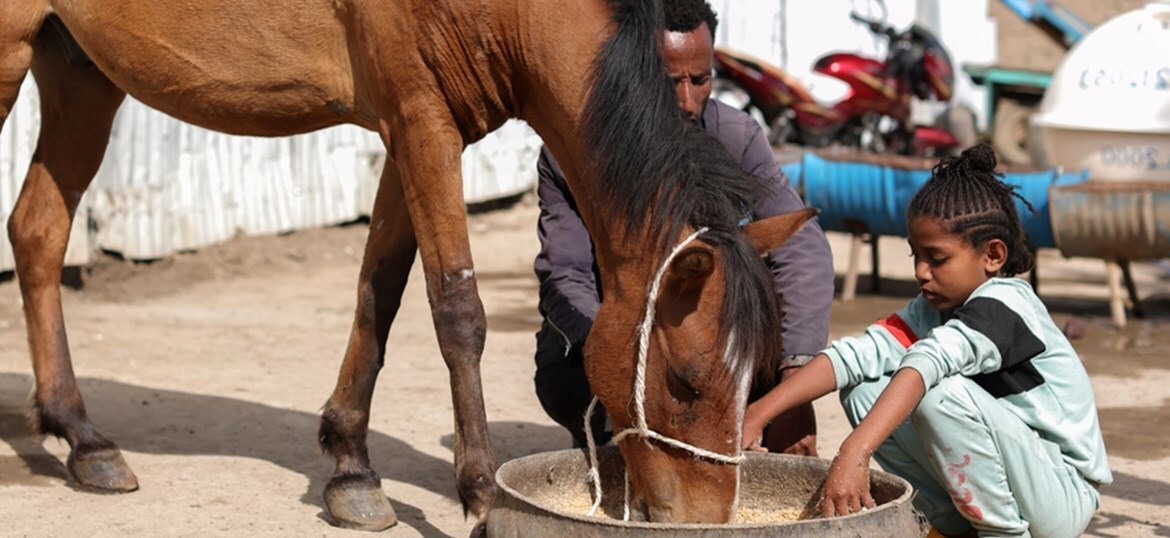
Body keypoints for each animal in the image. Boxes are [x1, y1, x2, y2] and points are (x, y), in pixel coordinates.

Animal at [0, 0, 816, 532]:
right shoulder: (422, 119)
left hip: (80, 69)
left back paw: (83, 438)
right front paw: (481, 493)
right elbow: (458, 311)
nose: (709, 518)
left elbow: (379, 293)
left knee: (38, 231)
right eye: (684, 382)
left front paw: (350, 469)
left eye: (756, 376)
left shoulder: (406, 127)